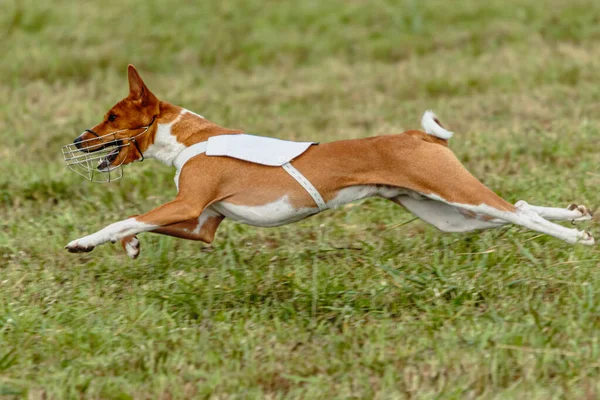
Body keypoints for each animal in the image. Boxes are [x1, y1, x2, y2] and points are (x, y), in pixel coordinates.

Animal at [63, 63, 592, 258]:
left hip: (455, 192)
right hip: (450, 215)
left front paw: (84, 242)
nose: (78, 140)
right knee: (518, 209)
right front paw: (131, 246)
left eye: (112, 116)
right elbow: (139, 225)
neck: (191, 139)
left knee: (518, 212)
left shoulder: (188, 205)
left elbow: (123, 217)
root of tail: (417, 134)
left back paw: (577, 237)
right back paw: (578, 216)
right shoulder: (202, 223)